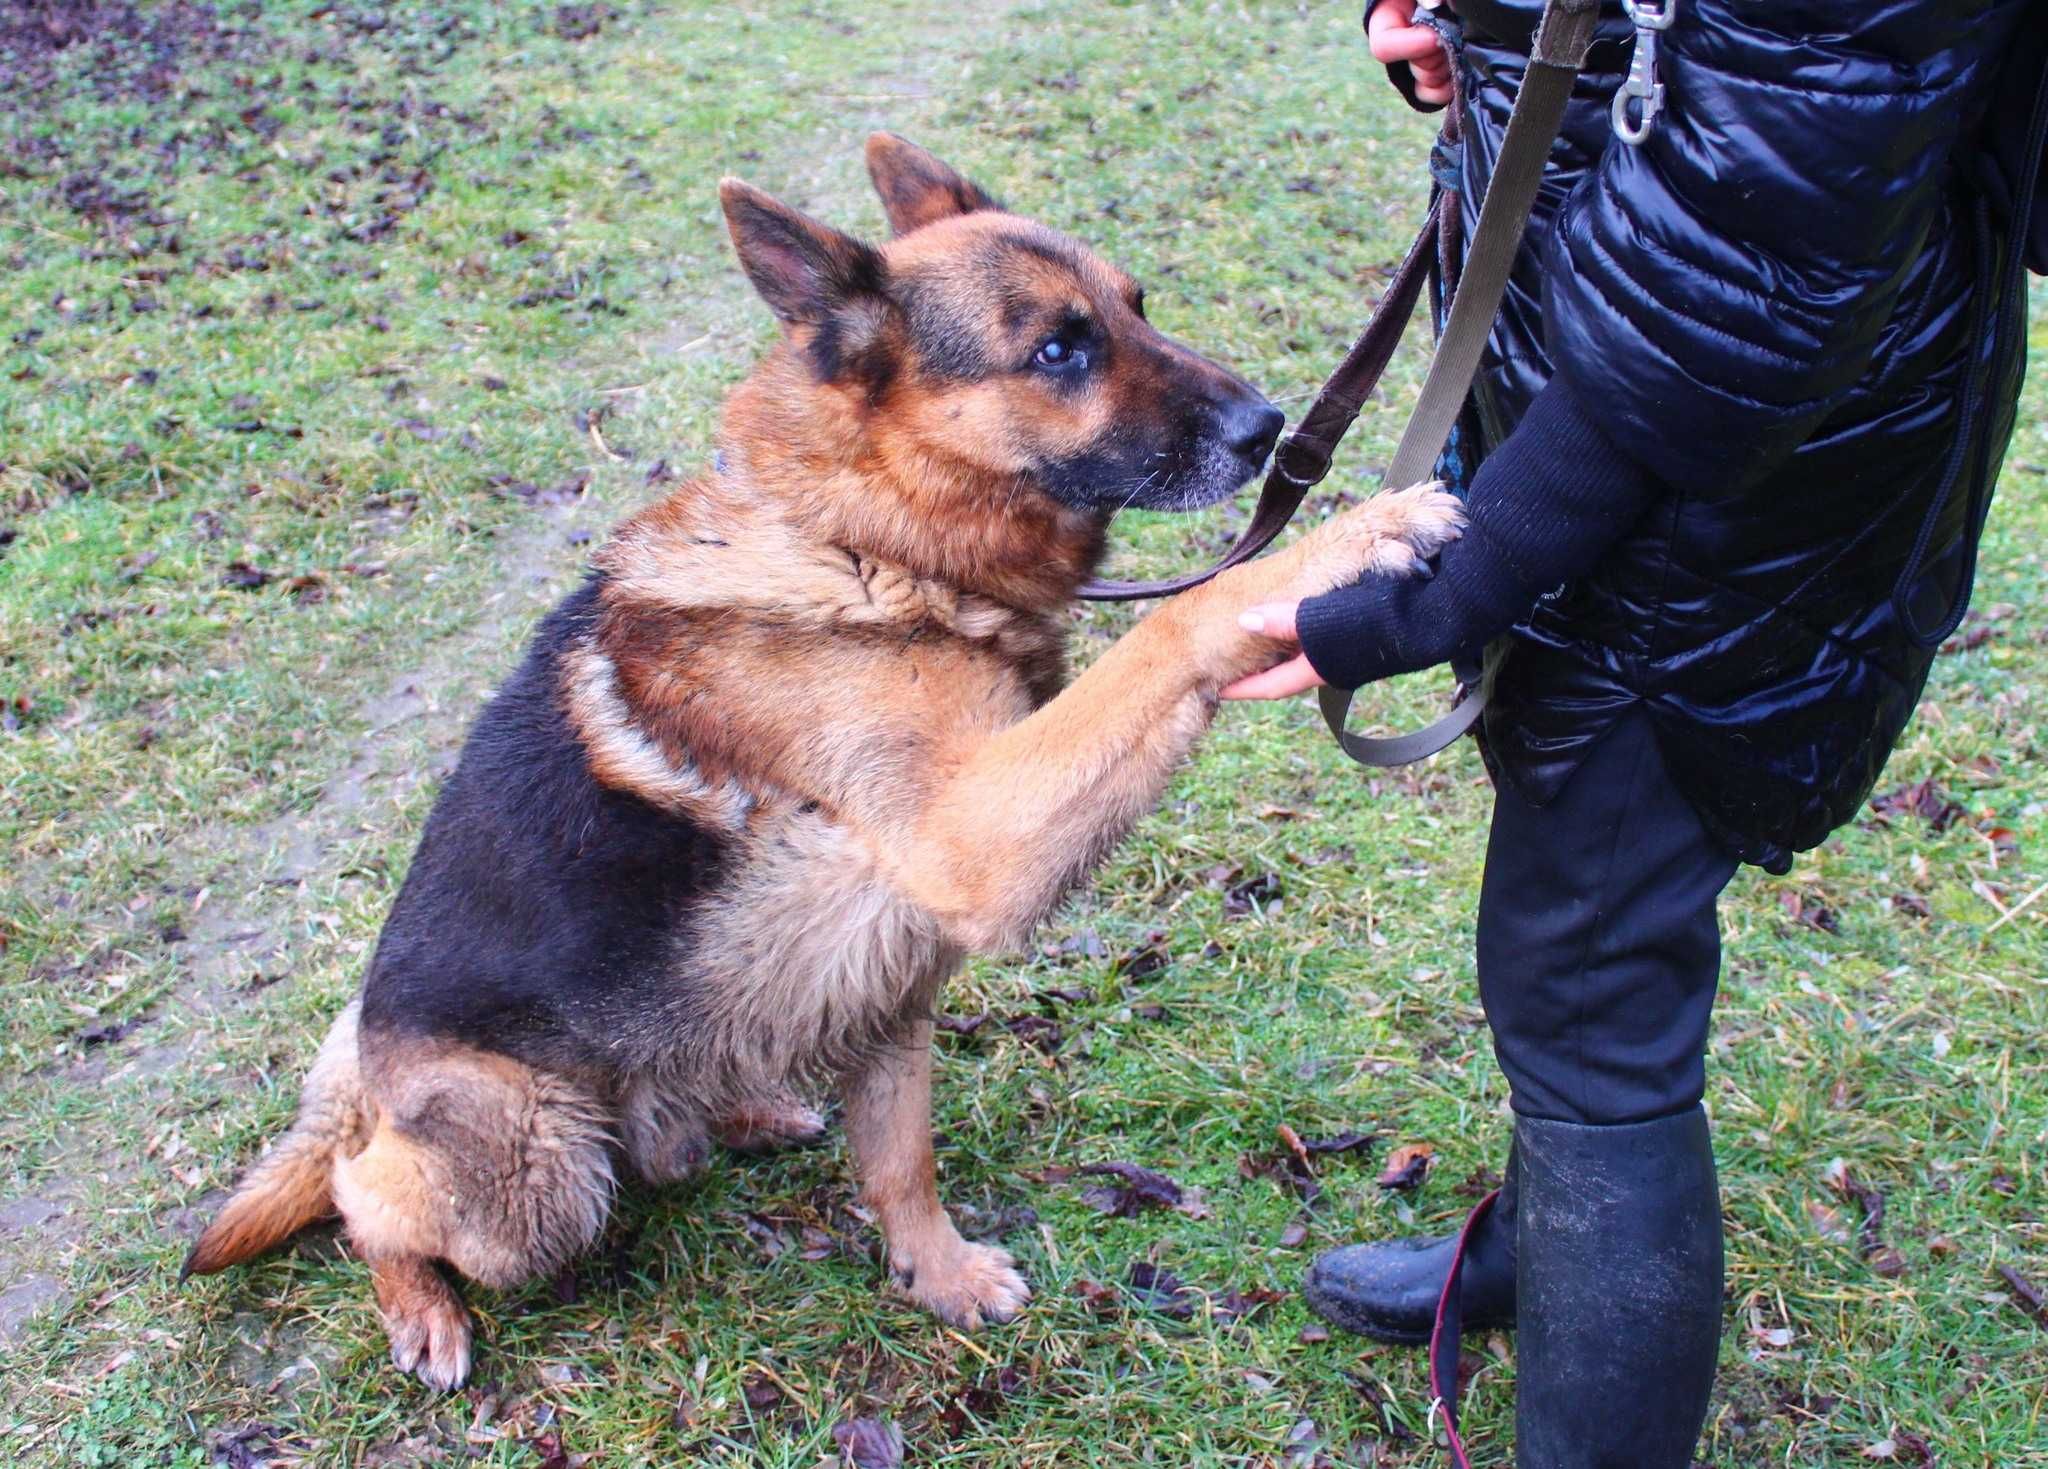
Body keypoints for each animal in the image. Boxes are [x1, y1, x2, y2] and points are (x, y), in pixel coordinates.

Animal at [180, 134, 1458, 1384]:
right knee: (366, 1194)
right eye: (1058, 348)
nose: (1272, 427)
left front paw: (935, 1273)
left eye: (1135, 306)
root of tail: (364, 1063)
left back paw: (746, 1110)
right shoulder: (969, 829)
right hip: (536, 1167)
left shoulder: (896, 980)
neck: (869, 541)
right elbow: (1170, 624)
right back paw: (420, 1304)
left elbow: (900, 1156)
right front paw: (1349, 535)